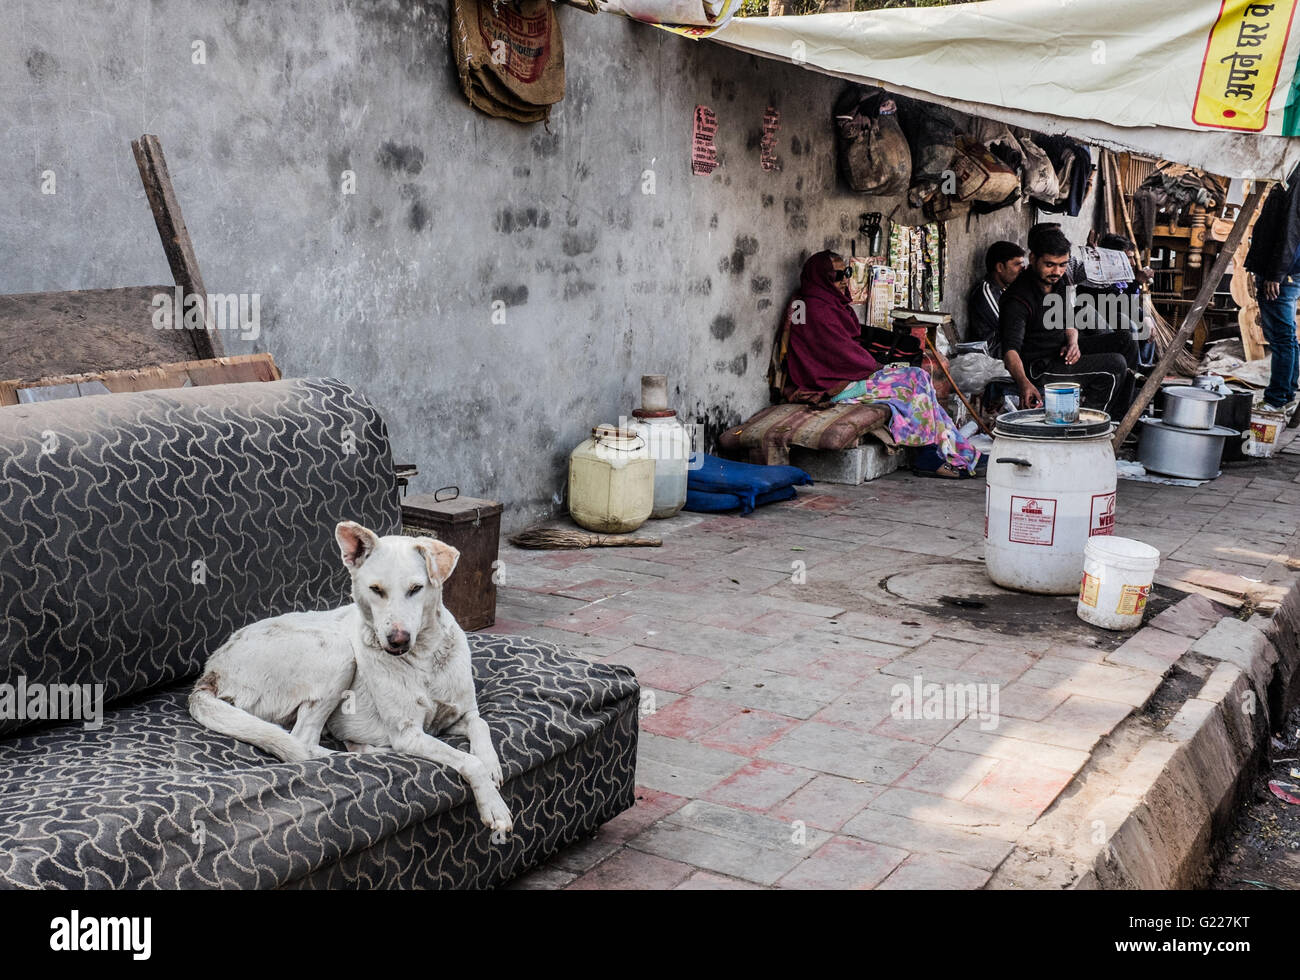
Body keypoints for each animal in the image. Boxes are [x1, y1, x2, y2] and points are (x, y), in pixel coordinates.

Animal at [188, 519, 512, 831]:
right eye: (376, 590)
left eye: (416, 589)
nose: (397, 640)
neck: (424, 658)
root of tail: (211, 671)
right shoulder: (408, 734)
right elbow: (468, 761)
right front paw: (494, 806)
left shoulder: (458, 715)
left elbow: (480, 724)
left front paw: (492, 765)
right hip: (338, 650)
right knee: (303, 742)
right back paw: (360, 750)